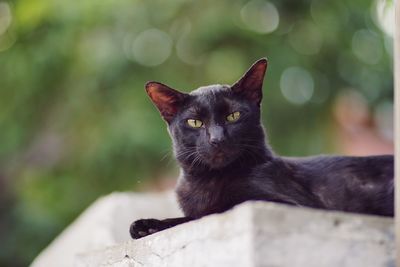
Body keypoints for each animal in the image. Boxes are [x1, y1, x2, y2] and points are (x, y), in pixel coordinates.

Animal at [129, 58, 394, 241]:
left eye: (233, 116)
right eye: (195, 122)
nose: (217, 138)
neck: (208, 181)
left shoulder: (286, 204)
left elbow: (205, 214)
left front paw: (154, 224)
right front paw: (145, 226)